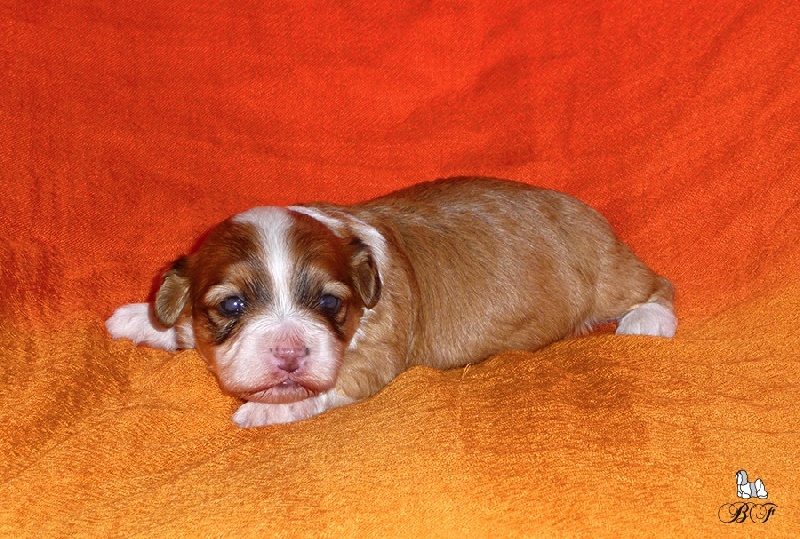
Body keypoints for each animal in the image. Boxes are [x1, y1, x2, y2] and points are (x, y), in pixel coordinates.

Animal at [106, 177, 677, 427]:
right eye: (232, 307)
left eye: (329, 302)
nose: (289, 355)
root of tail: (588, 212)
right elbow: (175, 320)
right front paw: (140, 318)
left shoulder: (374, 358)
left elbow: (327, 385)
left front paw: (265, 409)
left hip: (609, 274)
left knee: (658, 285)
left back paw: (647, 321)